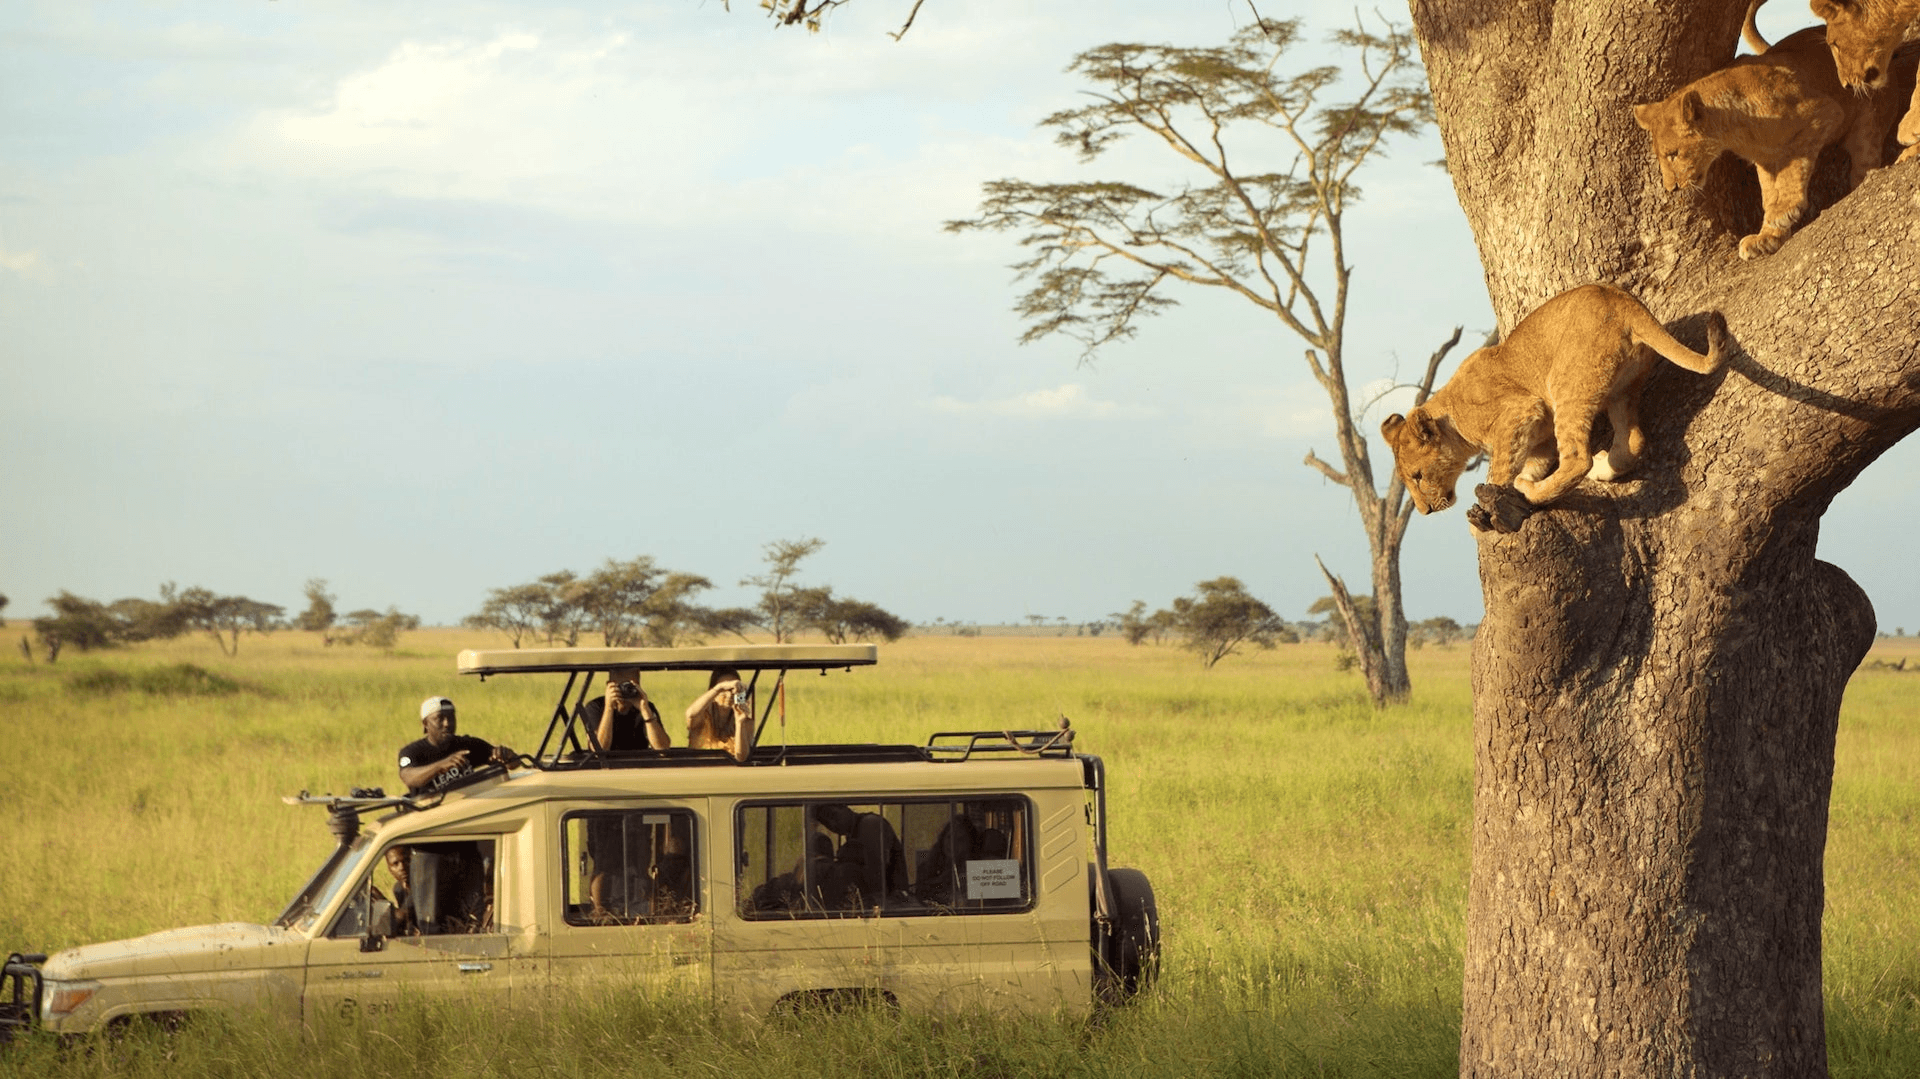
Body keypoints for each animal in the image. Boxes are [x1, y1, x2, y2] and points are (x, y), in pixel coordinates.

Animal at [1381, 284, 1730, 521]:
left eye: (1417, 476)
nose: (1425, 511)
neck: (1451, 416)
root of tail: (1622, 300)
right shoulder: (1539, 437)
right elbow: (1529, 464)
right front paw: (1522, 482)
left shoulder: (1520, 410)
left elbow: (1500, 470)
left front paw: (1485, 517)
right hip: (1623, 389)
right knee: (1633, 439)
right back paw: (1602, 468)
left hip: (1567, 385)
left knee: (1577, 459)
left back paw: (1539, 492)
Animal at [1633, 21, 1915, 258]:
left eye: (1673, 154)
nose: (1671, 189)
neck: (1733, 131)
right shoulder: (1765, 160)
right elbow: (1768, 195)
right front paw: (1766, 238)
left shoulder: (1824, 115)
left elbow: (1791, 174)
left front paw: (1785, 211)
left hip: (1867, 122)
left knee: (1865, 157)